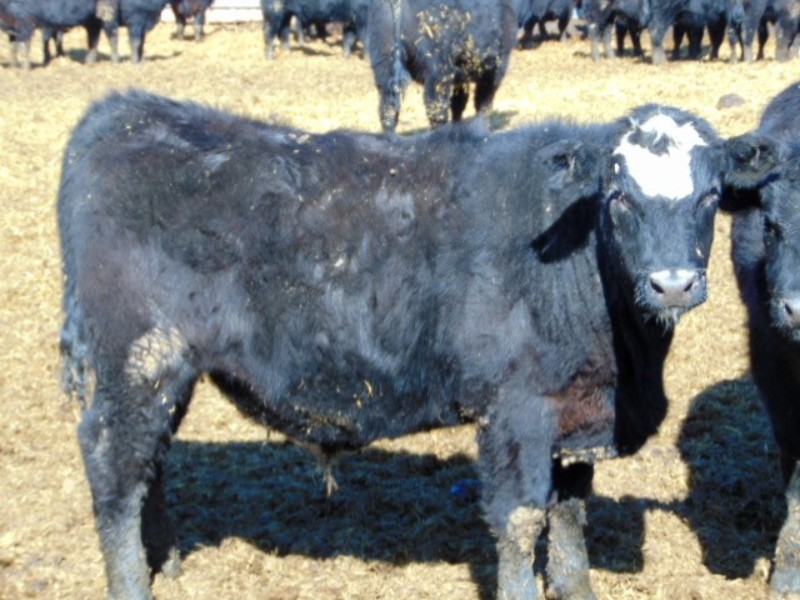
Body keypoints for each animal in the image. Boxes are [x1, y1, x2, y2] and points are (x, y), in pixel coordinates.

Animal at [58, 89, 724, 600]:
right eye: (620, 197)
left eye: (712, 196)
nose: (672, 283)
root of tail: (126, 112)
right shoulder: (516, 412)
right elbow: (520, 521)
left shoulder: (577, 410)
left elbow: (570, 515)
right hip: (138, 359)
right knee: (113, 462)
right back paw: (132, 583)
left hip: (167, 371)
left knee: (150, 457)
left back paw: (166, 562)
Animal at [367, 0, 518, 132]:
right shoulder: (495, 70)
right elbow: (483, 103)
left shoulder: (461, 77)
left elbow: (459, 103)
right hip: (438, 71)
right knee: (436, 109)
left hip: (384, 62)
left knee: (388, 109)